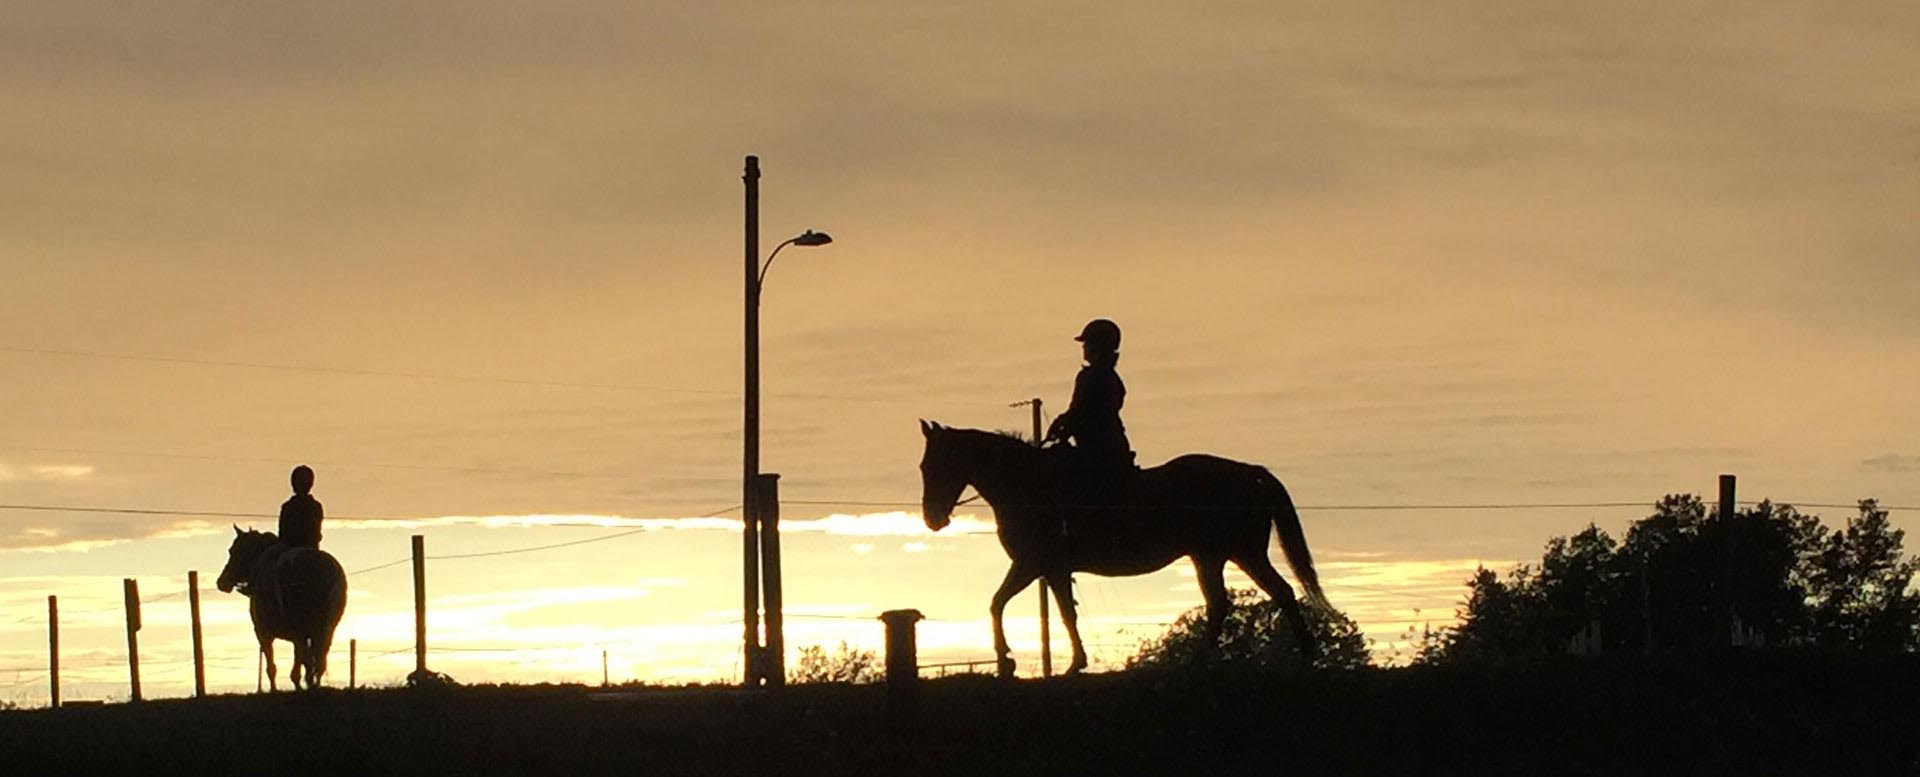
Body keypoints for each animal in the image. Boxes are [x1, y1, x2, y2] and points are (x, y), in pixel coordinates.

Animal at [218, 525, 349, 686]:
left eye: (233, 550)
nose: (221, 582)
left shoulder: (263, 632)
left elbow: (272, 668)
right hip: (327, 628)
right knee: (319, 663)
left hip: (301, 628)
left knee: (307, 663)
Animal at [913, 420, 1320, 675]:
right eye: (924, 467)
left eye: (934, 466)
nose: (932, 519)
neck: (1028, 485)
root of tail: (1251, 472)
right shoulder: (1051, 569)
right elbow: (1059, 612)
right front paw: (1071, 662)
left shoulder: (1034, 565)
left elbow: (1003, 604)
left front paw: (1008, 658)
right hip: (1220, 555)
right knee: (1255, 596)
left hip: (1231, 553)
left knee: (1258, 596)